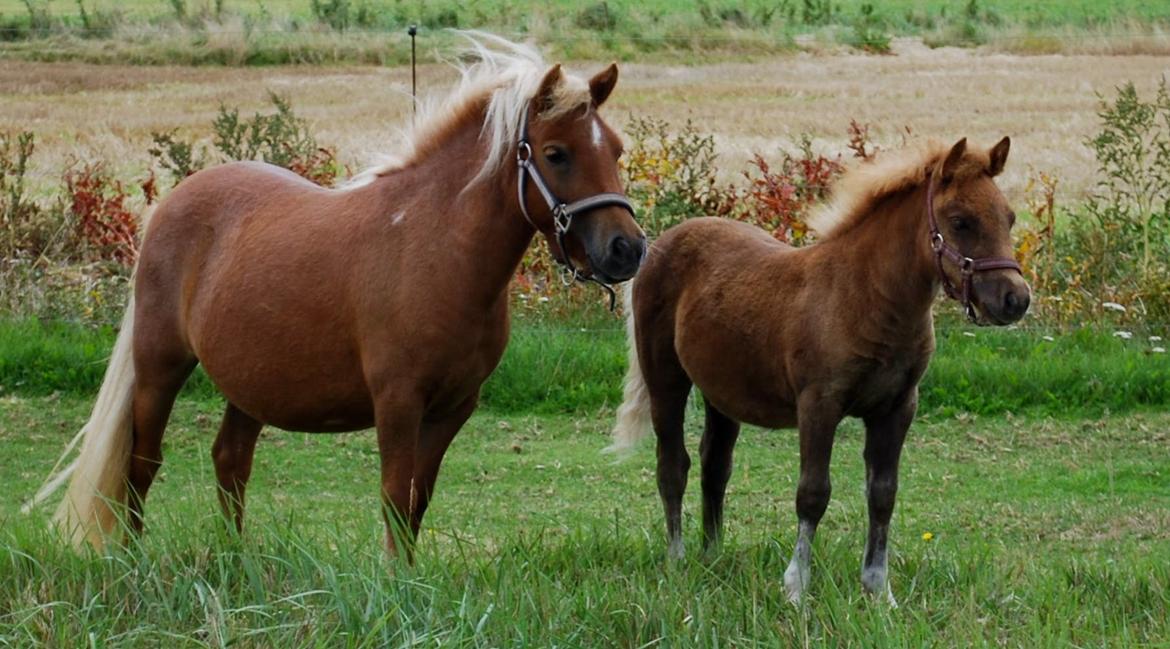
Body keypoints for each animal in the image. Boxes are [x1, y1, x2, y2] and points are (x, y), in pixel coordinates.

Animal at [29, 35, 650, 556]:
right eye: (556, 153)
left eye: (616, 150)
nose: (627, 249)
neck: (435, 248)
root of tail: (173, 205)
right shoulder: (397, 402)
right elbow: (395, 495)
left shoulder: (454, 407)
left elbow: (417, 501)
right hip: (161, 366)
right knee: (143, 462)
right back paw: (132, 561)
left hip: (250, 381)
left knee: (230, 461)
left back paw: (235, 564)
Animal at [617, 135, 1029, 603]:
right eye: (961, 221)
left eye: (1009, 217)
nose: (1016, 299)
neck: (866, 297)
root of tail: (659, 245)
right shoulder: (819, 404)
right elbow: (813, 493)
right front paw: (796, 587)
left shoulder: (898, 408)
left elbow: (882, 494)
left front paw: (878, 590)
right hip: (665, 380)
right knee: (673, 466)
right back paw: (678, 559)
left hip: (721, 393)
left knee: (715, 465)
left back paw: (713, 555)